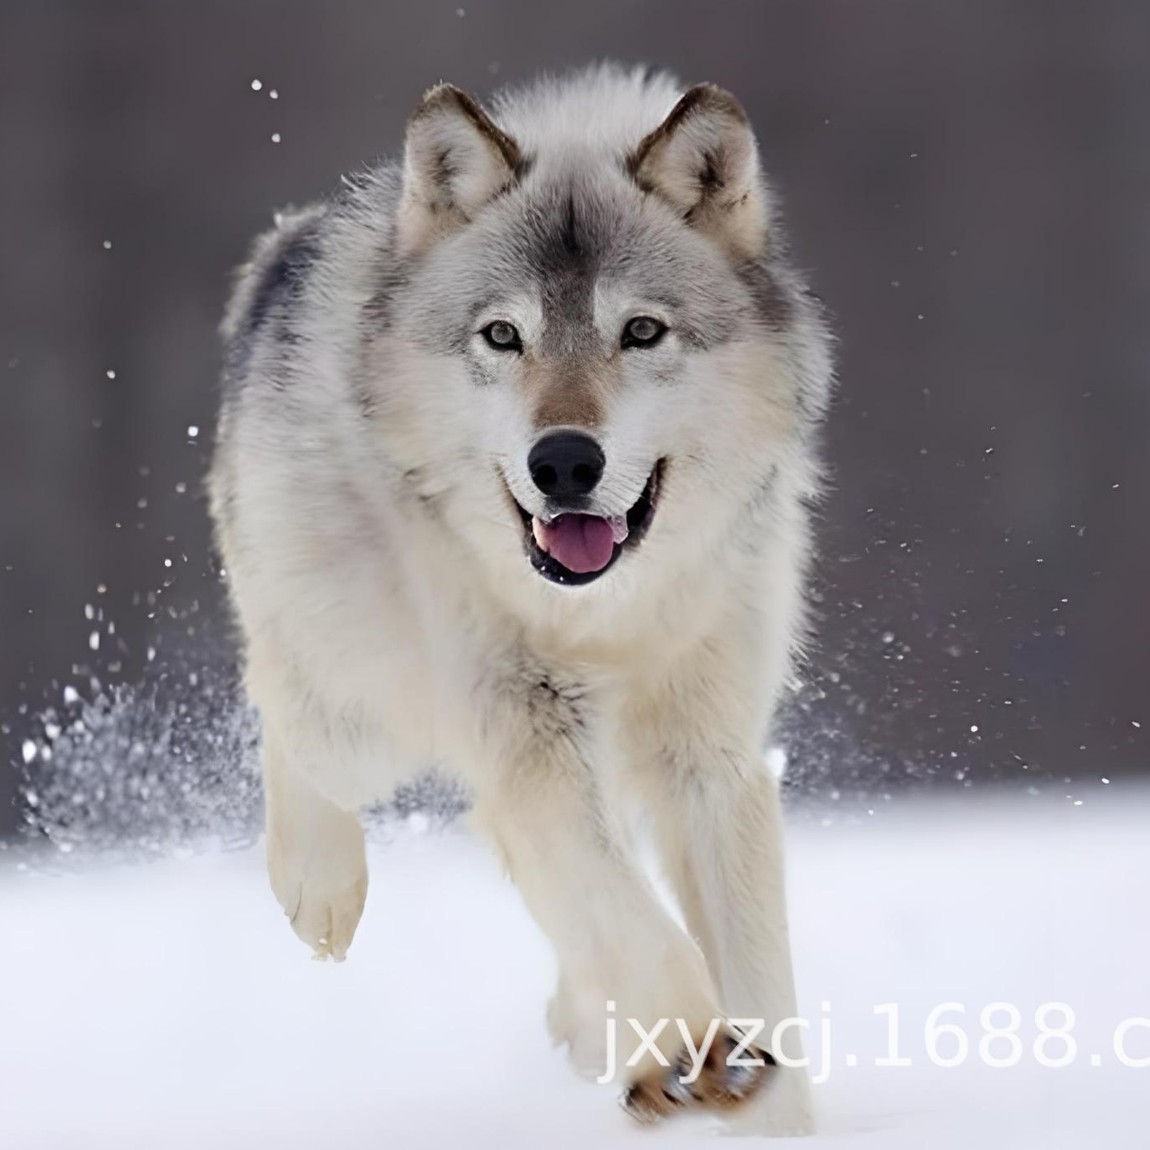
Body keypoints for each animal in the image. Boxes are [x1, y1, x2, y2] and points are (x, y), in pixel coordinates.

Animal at [208, 63, 832, 1134]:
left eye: (641, 331)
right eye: (503, 335)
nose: (564, 462)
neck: (604, 615)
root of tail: (283, 246)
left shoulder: (711, 759)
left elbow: (747, 968)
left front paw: (760, 1104)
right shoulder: (527, 734)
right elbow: (635, 922)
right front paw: (696, 1045)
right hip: (365, 711)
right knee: (286, 713)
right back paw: (319, 890)